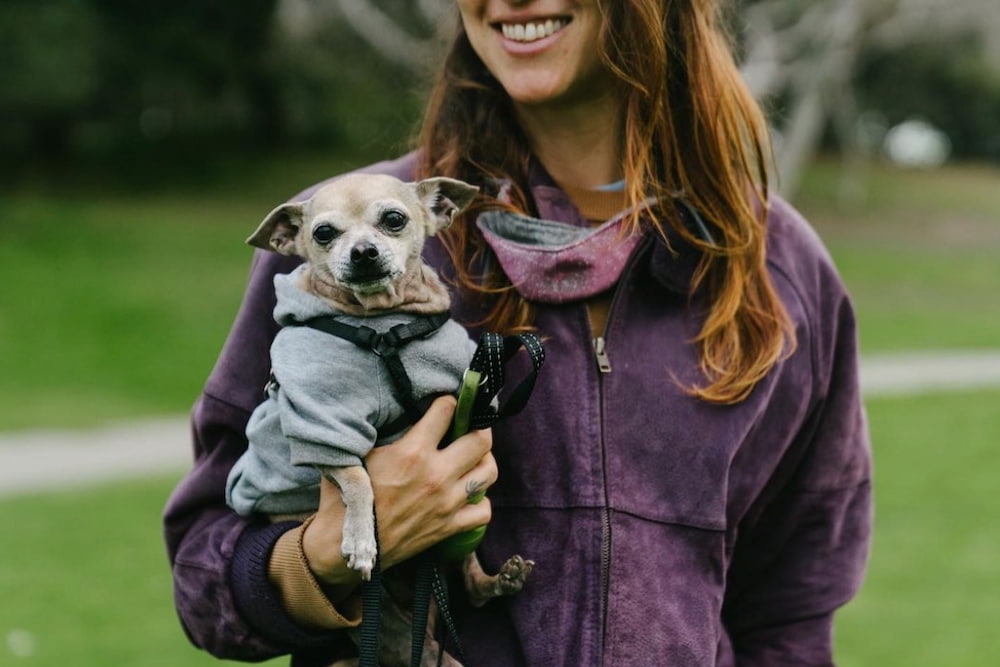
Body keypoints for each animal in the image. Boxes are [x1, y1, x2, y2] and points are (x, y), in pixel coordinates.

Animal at [228, 174, 536, 667]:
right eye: (324, 233)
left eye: (394, 219)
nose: (363, 252)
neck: (384, 326)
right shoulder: (323, 425)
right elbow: (358, 480)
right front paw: (360, 538)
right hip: (387, 623)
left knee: (468, 580)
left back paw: (498, 580)